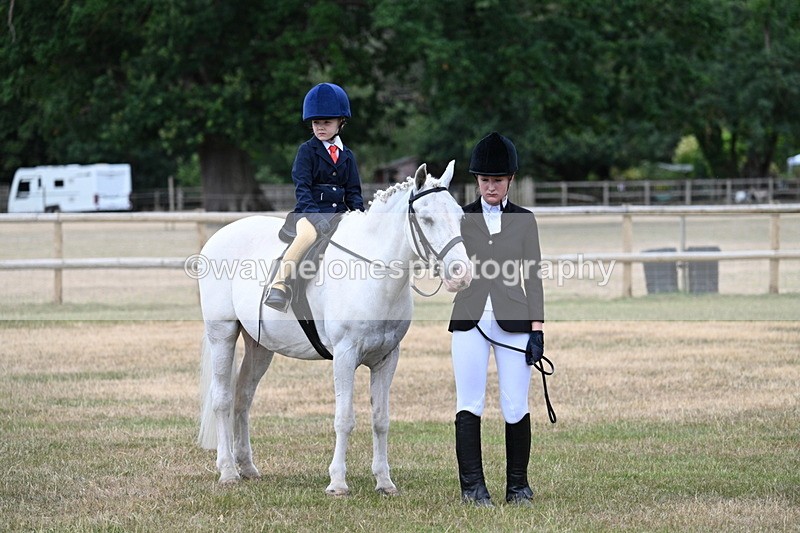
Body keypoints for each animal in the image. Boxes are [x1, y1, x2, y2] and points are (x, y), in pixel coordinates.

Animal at [196, 161, 472, 495]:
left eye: (459, 216)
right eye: (427, 219)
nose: (461, 275)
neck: (372, 272)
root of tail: (220, 235)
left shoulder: (387, 358)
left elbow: (381, 419)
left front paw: (384, 481)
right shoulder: (344, 355)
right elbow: (344, 419)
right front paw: (338, 482)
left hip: (260, 347)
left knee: (243, 397)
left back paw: (247, 467)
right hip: (222, 333)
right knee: (223, 399)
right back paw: (227, 471)